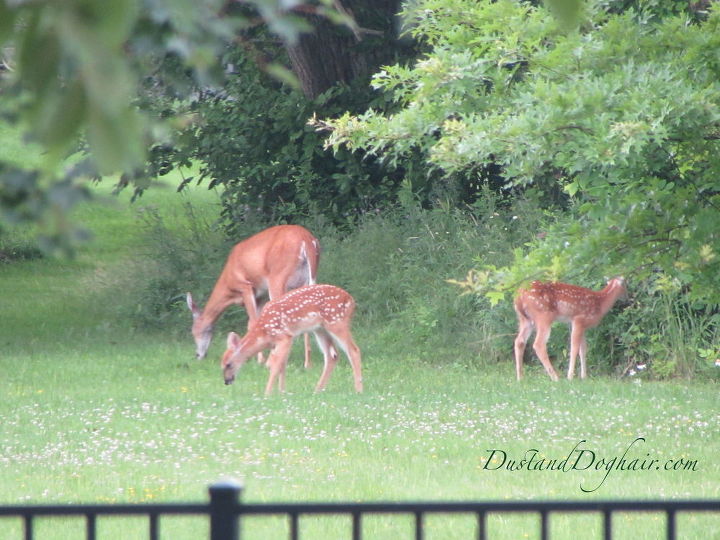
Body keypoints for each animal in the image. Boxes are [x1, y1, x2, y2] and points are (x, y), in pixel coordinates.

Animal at [187, 224, 320, 368]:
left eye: (196, 331)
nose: (198, 355)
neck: (229, 285)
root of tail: (307, 240)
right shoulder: (260, 296)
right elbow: (254, 322)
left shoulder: (245, 287)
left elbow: (254, 322)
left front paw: (259, 360)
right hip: (305, 282)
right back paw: (307, 363)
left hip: (278, 279)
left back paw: (272, 361)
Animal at [221, 284, 366, 394]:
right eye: (221, 365)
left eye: (229, 364)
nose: (226, 381)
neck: (264, 333)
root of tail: (351, 300)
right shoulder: (282, 342)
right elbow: (282, 364)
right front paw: (281, 392)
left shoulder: (285, 336)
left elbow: (275, 365)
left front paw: (267, 393)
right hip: (320, 329)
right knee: (332, 356)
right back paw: (317, 390)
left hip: (337, 322)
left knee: (354, 350)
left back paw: (358, 390)